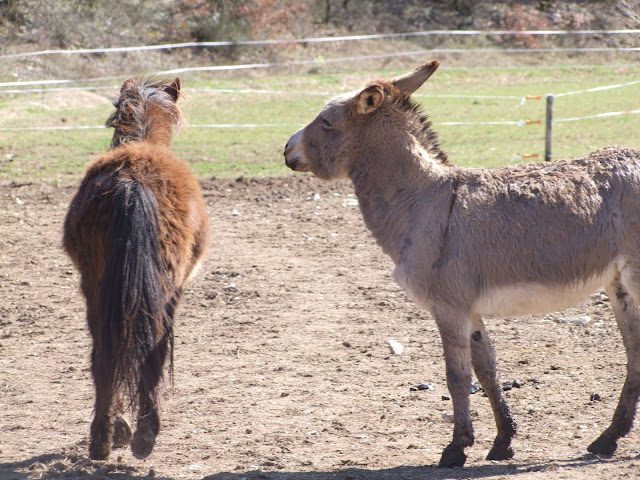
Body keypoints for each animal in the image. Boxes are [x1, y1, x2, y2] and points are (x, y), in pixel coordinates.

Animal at [62, 78, 209, 462]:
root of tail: (133, 181)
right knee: (150, 351)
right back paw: (141, 434)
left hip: (97, 287)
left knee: (104, 351)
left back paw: (104, 437)